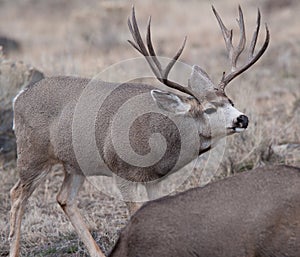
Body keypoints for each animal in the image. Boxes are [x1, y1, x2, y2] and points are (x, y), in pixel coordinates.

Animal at [8, 4, 270, 256]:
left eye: (231, 101)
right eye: (209, 109)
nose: (242, 119)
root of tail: (19, 98)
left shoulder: (155, 179)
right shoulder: (121, 172)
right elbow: (134, 214)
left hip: (74, 165)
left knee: (64, 199)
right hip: (33, 155)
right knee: (17, 195)